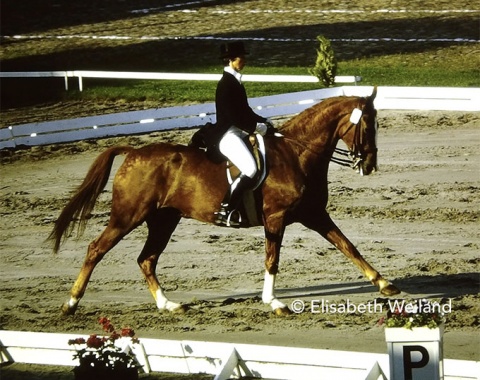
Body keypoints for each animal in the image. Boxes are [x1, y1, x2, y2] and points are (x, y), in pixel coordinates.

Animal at [49, 88, 402, 314]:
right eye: (367, 125)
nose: (370, 165)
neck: (296, 154)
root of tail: (133, 152)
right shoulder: (276, 218)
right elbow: (272, 259)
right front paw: (274, 302)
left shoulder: (314, 214)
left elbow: (348, 247)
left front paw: (384, 284)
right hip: (128, 216)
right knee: (96, 249)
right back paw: (70, 304)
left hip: (164, 219)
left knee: (146, 259)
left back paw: (168, 305)